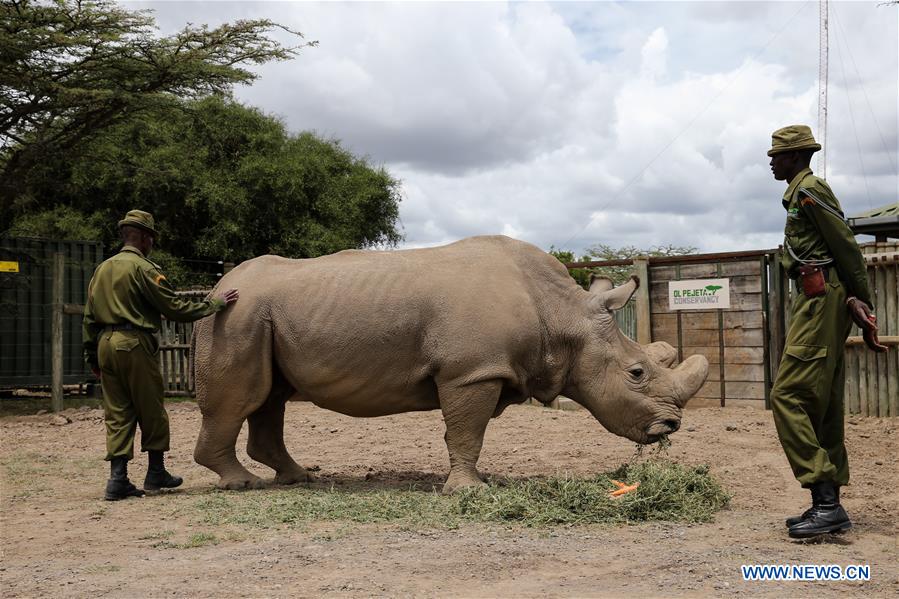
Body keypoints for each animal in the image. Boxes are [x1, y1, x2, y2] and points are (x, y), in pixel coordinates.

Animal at [192, 236, 709, 492]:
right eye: (637, 373)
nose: (670, 427)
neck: (563, 314)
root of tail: (217, 285)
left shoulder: (482, 369)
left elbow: (466, 432)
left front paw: (474, 484)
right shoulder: (472, 371)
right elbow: (466, 431)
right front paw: (470, 491)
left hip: (260, 316)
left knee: (270, 397)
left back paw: (297, 478)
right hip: (234, 316)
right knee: (241, 398)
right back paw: (243, 485)